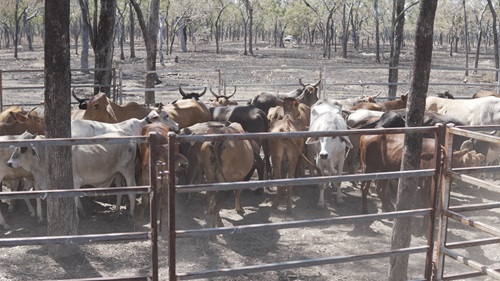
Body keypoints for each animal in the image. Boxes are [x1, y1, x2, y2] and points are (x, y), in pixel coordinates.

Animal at [7, 130, 140, 218]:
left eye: (23, 148)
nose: (9, 163)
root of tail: (126, 134)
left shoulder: (75, 182)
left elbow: (74, 198)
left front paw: (77, 214)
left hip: (128, 171)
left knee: (132, 189)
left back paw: (131, 214)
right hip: (117, 174)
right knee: (120, 190)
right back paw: (117, 211)